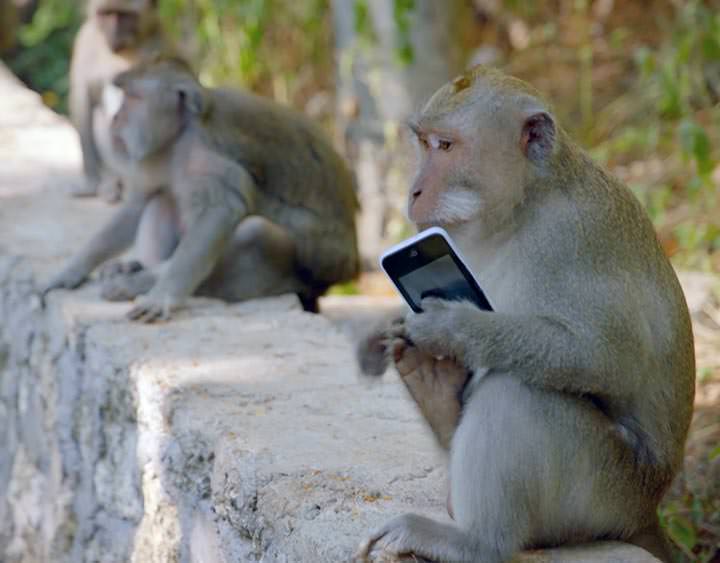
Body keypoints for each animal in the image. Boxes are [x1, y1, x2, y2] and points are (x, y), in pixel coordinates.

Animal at [43, 57, 360, 322]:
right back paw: (138, 267)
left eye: (133, 98)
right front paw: (72, 270)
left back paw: (140, 281)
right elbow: (138, 203)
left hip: (309, 270)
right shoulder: (155, 154)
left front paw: (163, 295)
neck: (180, 133)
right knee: (162, 199)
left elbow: (221, 211)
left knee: (256, 231)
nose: (115, 119)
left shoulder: (205, 154)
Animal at [69, 0, 170, 201]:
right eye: (107, 14)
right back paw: (112, 181)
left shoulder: (161, 45)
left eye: (124, 15)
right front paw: (90, 183)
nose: (112, 34)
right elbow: (82, 101)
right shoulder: (85, 40)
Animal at [355, 66, 695, 563]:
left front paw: (454, 328)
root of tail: (647, 510)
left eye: (446, 146)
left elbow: (608, 359)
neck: (524, 205)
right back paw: (436, 393)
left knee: (517, 390)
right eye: (424, 143)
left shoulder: (571, 238)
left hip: (606, 490)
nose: (413, 190)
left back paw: (477, 542)